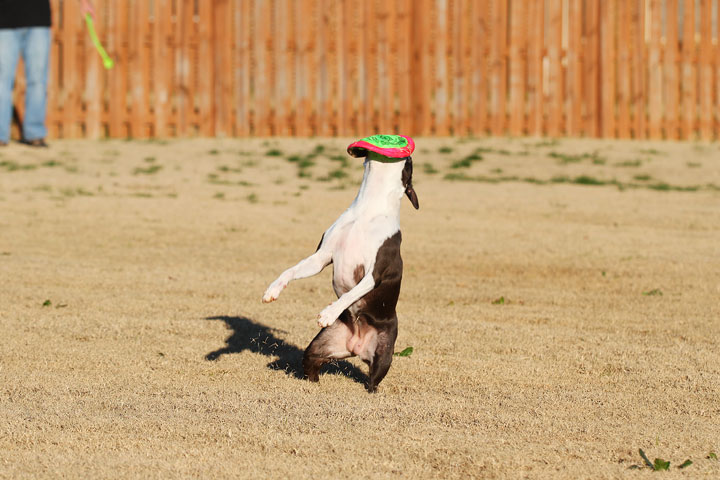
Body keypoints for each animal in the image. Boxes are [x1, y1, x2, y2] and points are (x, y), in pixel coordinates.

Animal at [262, 133, 420, 392]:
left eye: (409, 163)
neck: (368, 209)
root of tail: (357, 346)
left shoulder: (374, 273)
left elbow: (350, 294)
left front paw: (328, 313)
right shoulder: (321, 257)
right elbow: (290, 271)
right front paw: (272, 290)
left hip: (384, 353)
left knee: (373, 380)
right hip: (319, 347)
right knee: (312, 366)